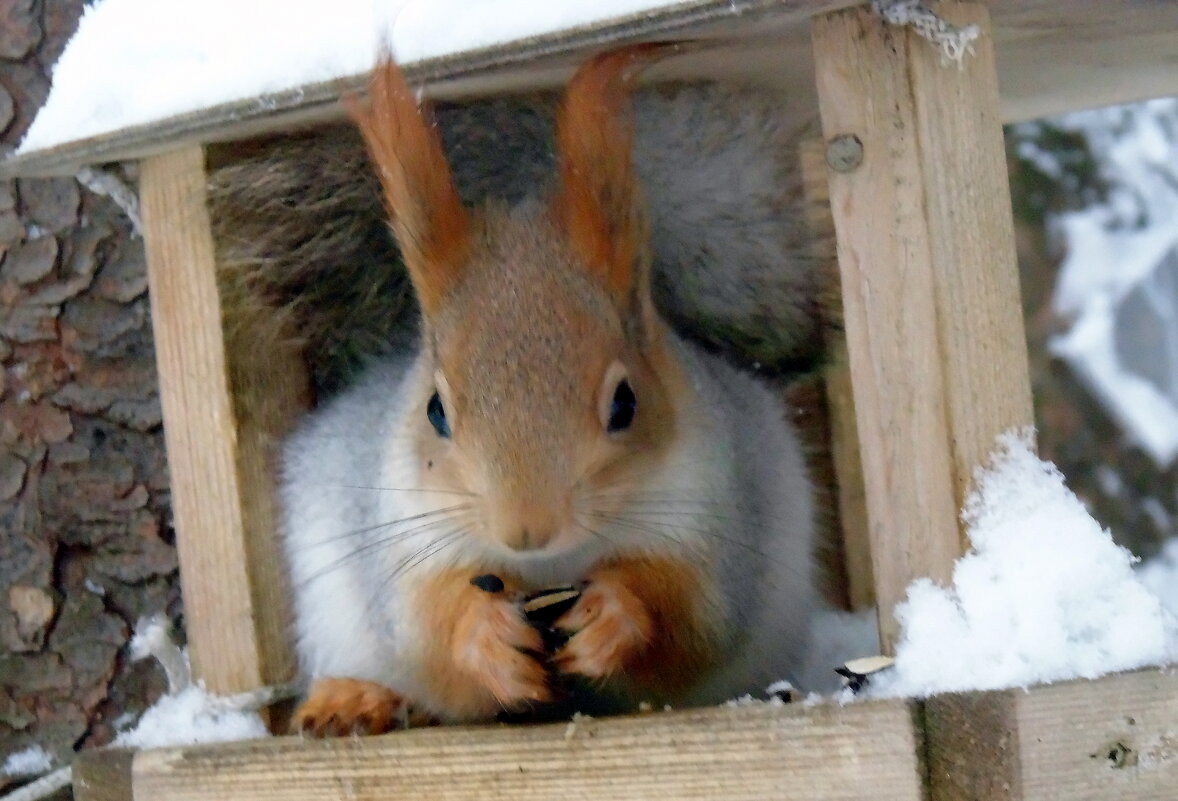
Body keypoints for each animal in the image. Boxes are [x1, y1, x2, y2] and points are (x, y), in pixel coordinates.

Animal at [269, 42, 838, 730]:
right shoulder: (405, 545)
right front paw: (485, 637)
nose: (526, 530)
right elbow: (429, 629)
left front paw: (614, 615)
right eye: (435, 410)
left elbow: (692, 619)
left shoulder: (716, 522)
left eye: (625, 402)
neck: (548, 569)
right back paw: (354, 700)